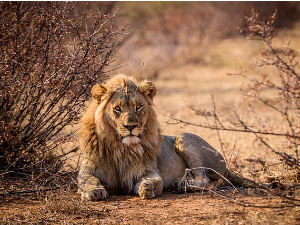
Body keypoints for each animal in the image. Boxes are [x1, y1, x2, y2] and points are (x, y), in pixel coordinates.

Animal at [78, 74, 262, 200]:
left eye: (138, 106)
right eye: (117, 108)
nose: (130, 127)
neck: (120, 147)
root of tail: (225, 165)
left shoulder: (148, 170)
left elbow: (155, 181)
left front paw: (147, 188)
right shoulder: (88, 169)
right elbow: (86, 180)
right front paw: (94, 191)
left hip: (183, 138)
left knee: (206, 180)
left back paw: (182, 184)